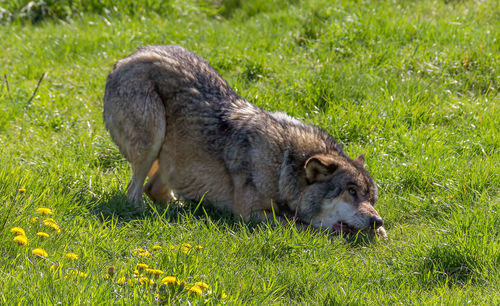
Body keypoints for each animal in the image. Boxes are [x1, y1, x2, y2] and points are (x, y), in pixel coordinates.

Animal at [103, 44, 386, 237]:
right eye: (351, 192)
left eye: (371, 199)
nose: (377, 221)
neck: (283, 166)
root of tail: (127, 58)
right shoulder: (250, 214)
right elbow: (302, 224)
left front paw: (380, 233)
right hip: (153, 138)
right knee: (133, 192)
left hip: (173, 158)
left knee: (155, 189)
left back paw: (188, 210)